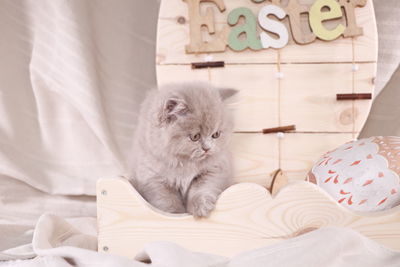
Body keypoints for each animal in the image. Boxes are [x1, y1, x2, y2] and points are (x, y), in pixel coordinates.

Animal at [131, 82, 236, 219]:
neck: (183, 163)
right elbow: (167, 202)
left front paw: (201, 208)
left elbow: (201, 189)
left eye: (216, 135)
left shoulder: (214, 169)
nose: (207, 148)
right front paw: (174, 215)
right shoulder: (153, 179)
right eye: (195, 137)